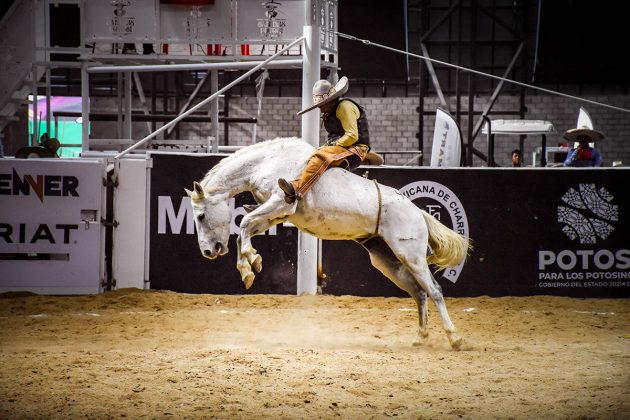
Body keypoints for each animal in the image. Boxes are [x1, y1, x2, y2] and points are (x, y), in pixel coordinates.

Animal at [185, 137, 472, 348]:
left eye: (200, 216)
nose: (208, 251)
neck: (268, 161)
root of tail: (417, 212)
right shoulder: (275, 214)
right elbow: (244, 231)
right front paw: (247, 268)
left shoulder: (280, 203)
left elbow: (243, 224)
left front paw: (251, 261)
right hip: (388, 261)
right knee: (419, 292)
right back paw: (420, 337)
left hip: (411, 255)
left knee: (435, 290)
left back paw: (455, 338)